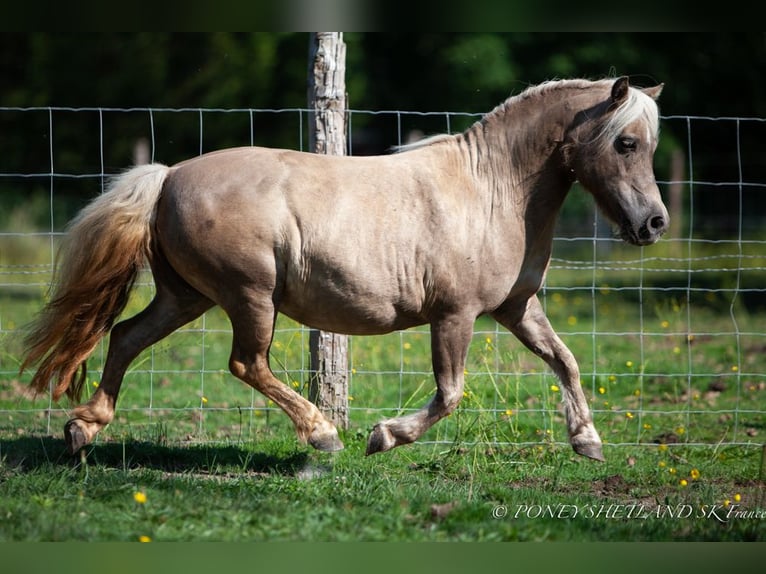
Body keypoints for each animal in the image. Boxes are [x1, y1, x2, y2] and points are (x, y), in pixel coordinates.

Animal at [19, 76, 664, 464]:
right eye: (626, 143)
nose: (653, 224)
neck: (490, 191)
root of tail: (168, 176)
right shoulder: (455, 315)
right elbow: (450, 393)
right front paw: (383, 436)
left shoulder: (516, 308)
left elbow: (566, 360)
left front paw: (588, 441)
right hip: (248, 295)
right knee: (245, 363)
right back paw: (323, 433)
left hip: (186, 297)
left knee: (126, 337)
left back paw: (83, 429)